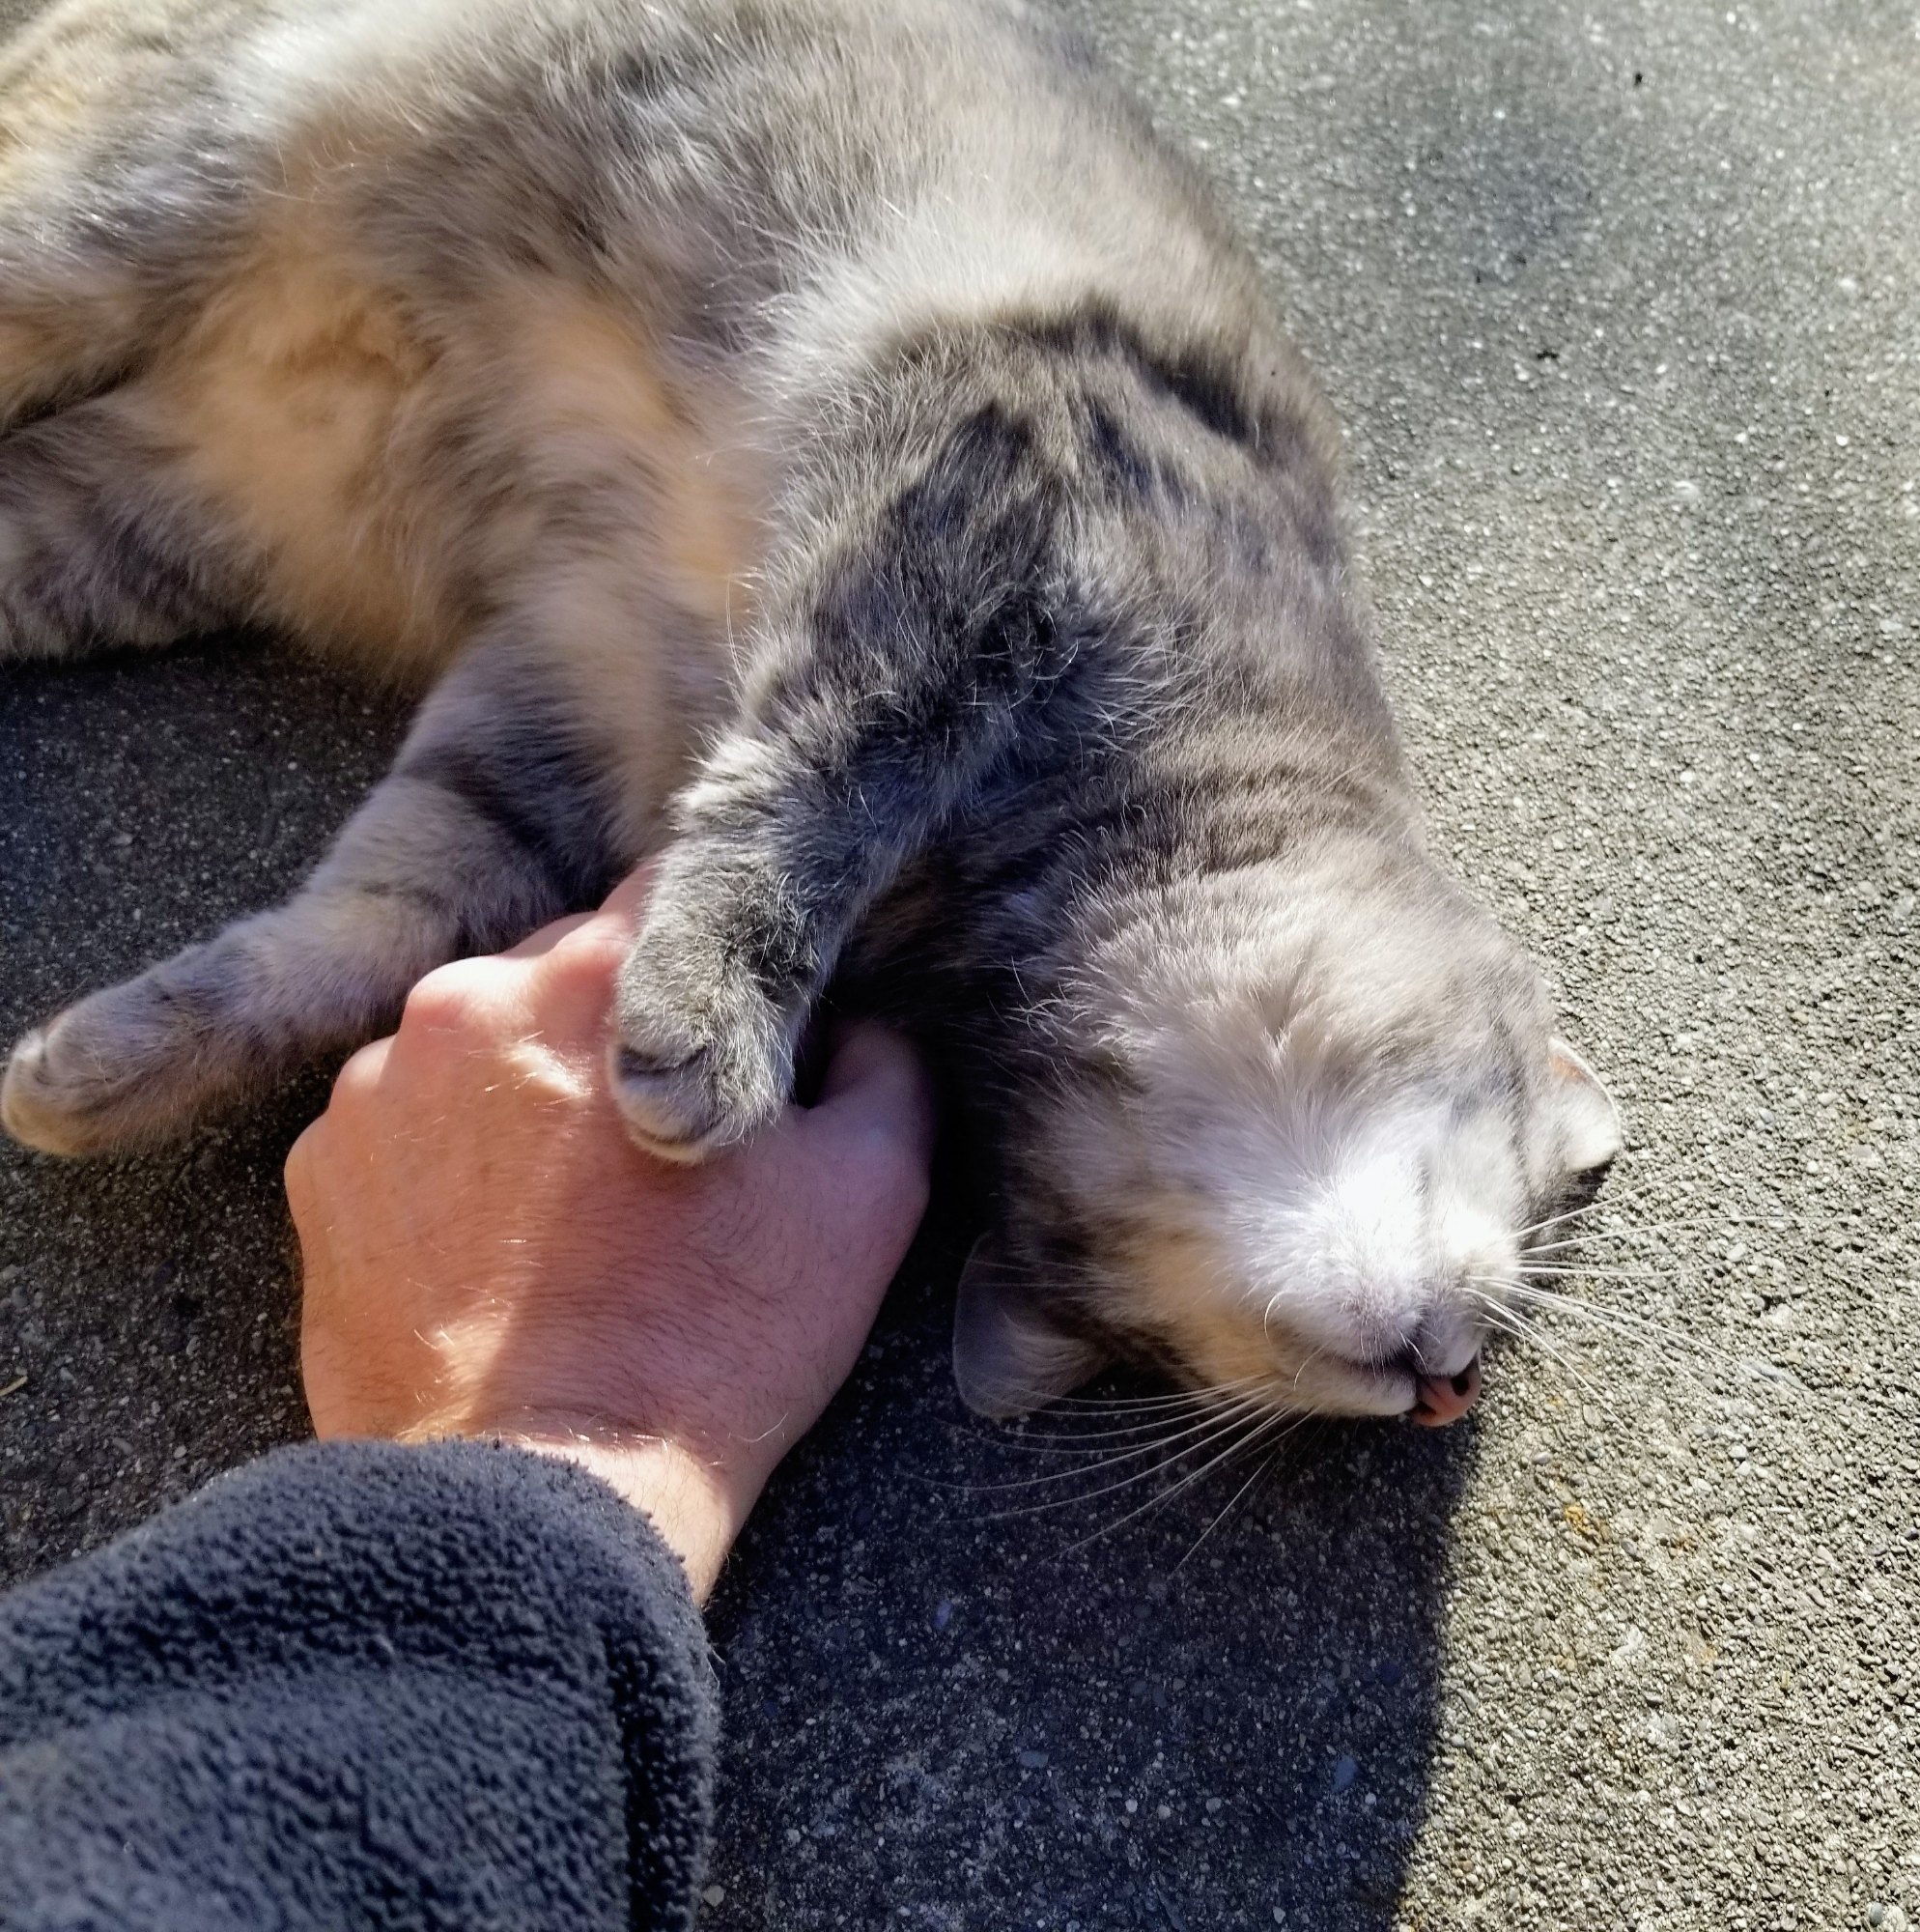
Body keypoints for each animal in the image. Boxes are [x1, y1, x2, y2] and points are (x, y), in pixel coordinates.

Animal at [0, 0, 1620, 1426]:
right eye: (1531, 1192)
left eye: (1138, 1349)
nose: (1450, 1381)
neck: (995, 905)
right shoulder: (972, 503)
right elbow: (828, 770)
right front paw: (712, 1014)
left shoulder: (564, 693)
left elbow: (384, 917)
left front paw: (108, 1064)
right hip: (130, 210)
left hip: (141, 518)